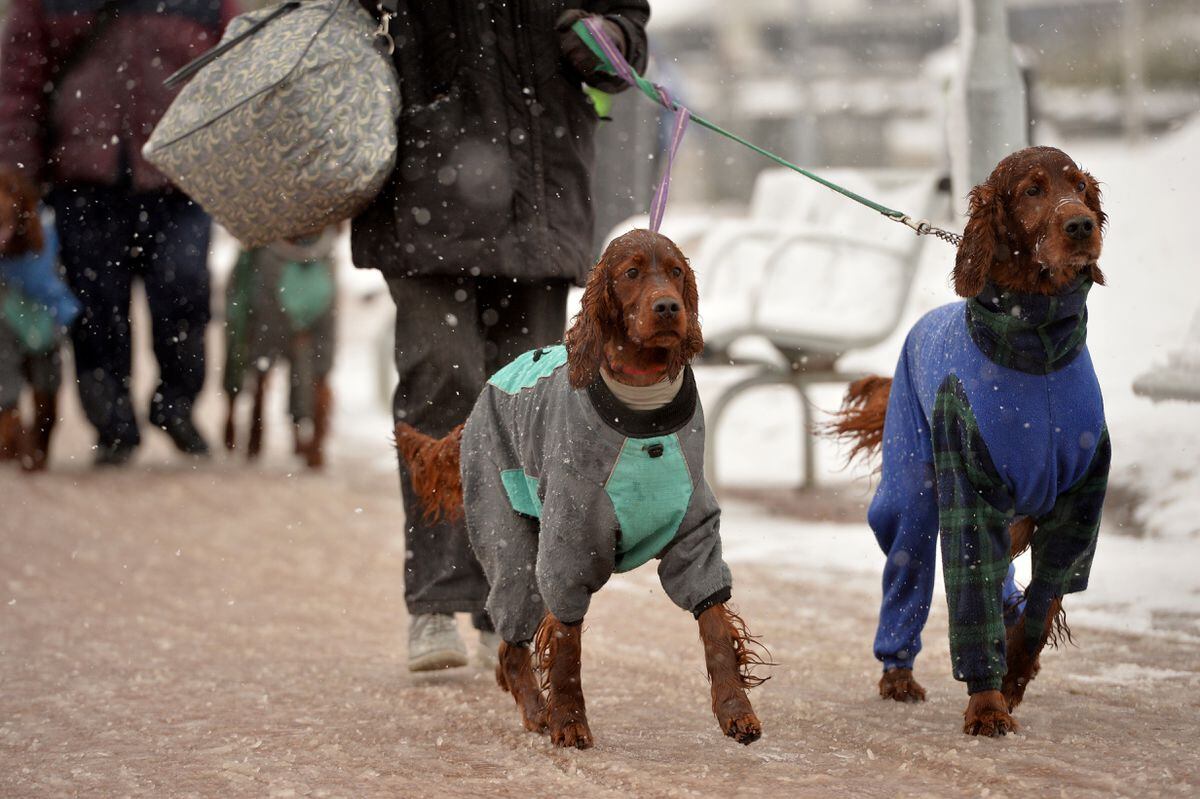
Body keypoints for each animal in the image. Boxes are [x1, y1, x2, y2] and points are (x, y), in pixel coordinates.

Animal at [393, 229, 768, 748]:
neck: (642, 404)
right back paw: (537, 711)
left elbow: (712, 618)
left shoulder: (695, 532)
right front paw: (569, 720)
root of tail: (480, 400)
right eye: (631, 272)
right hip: (505, 534)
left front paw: (736, 710)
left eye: (675, 271)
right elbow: (566, 641)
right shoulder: (570, 541)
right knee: (511, 637)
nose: (668, 307)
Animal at [830, 147, 1108, 734]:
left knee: (1006, 575)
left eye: (1079, 186)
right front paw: (987, 705)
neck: (1036, 344)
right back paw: (898, 676)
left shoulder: (1082, 497)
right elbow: (972, 586)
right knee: (908, 563)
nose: (1081, 225)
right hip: (913, 490)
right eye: (1032, 190)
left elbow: (1044, 598)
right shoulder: (968, 484)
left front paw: (1016, 672)